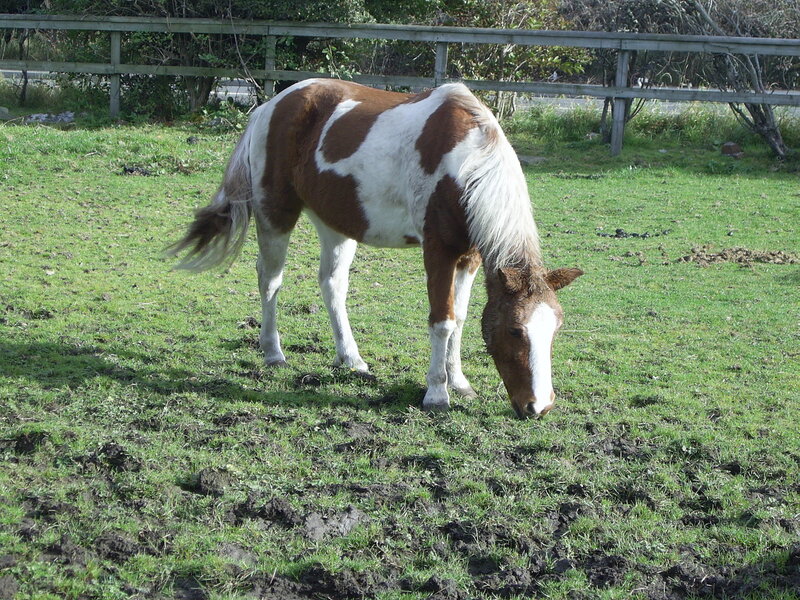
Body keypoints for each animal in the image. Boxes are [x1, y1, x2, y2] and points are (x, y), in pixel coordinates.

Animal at [169, 78, 582, 418]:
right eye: (515, 331)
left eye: (556, 329)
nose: (539, 406)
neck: (466, 163)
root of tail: (272, 105)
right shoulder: (439, 250)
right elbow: (443, 320)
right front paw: (437, 393)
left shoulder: (471, 257)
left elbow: (462, 319)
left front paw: (459, 382)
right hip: (276, 214)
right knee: (270, 280)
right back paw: (273, 352)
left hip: (336, 224)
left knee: (332, 285)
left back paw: (350, 358)